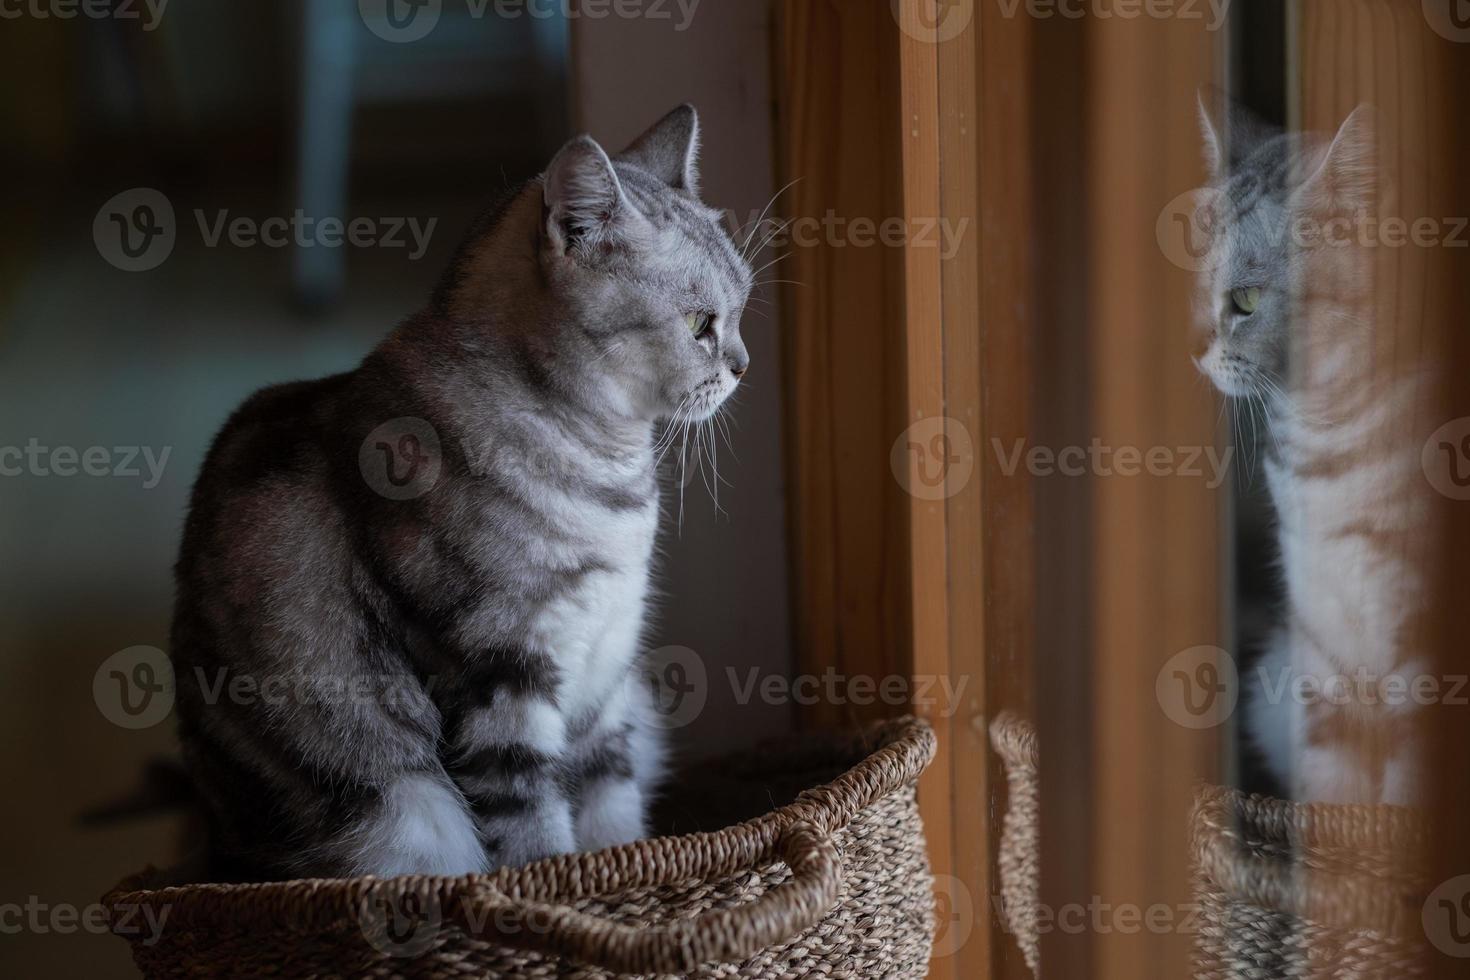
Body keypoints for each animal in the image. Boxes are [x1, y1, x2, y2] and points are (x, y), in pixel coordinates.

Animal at [168, 107, 752, 881]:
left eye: (742, 309)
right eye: (698, 325)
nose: (745, 364)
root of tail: (212, 844)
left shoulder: (605, 679)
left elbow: (612, 811)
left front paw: (632, 874)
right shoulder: (497, 679)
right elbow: (534, 838)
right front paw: (565, 891)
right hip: (397, 810)